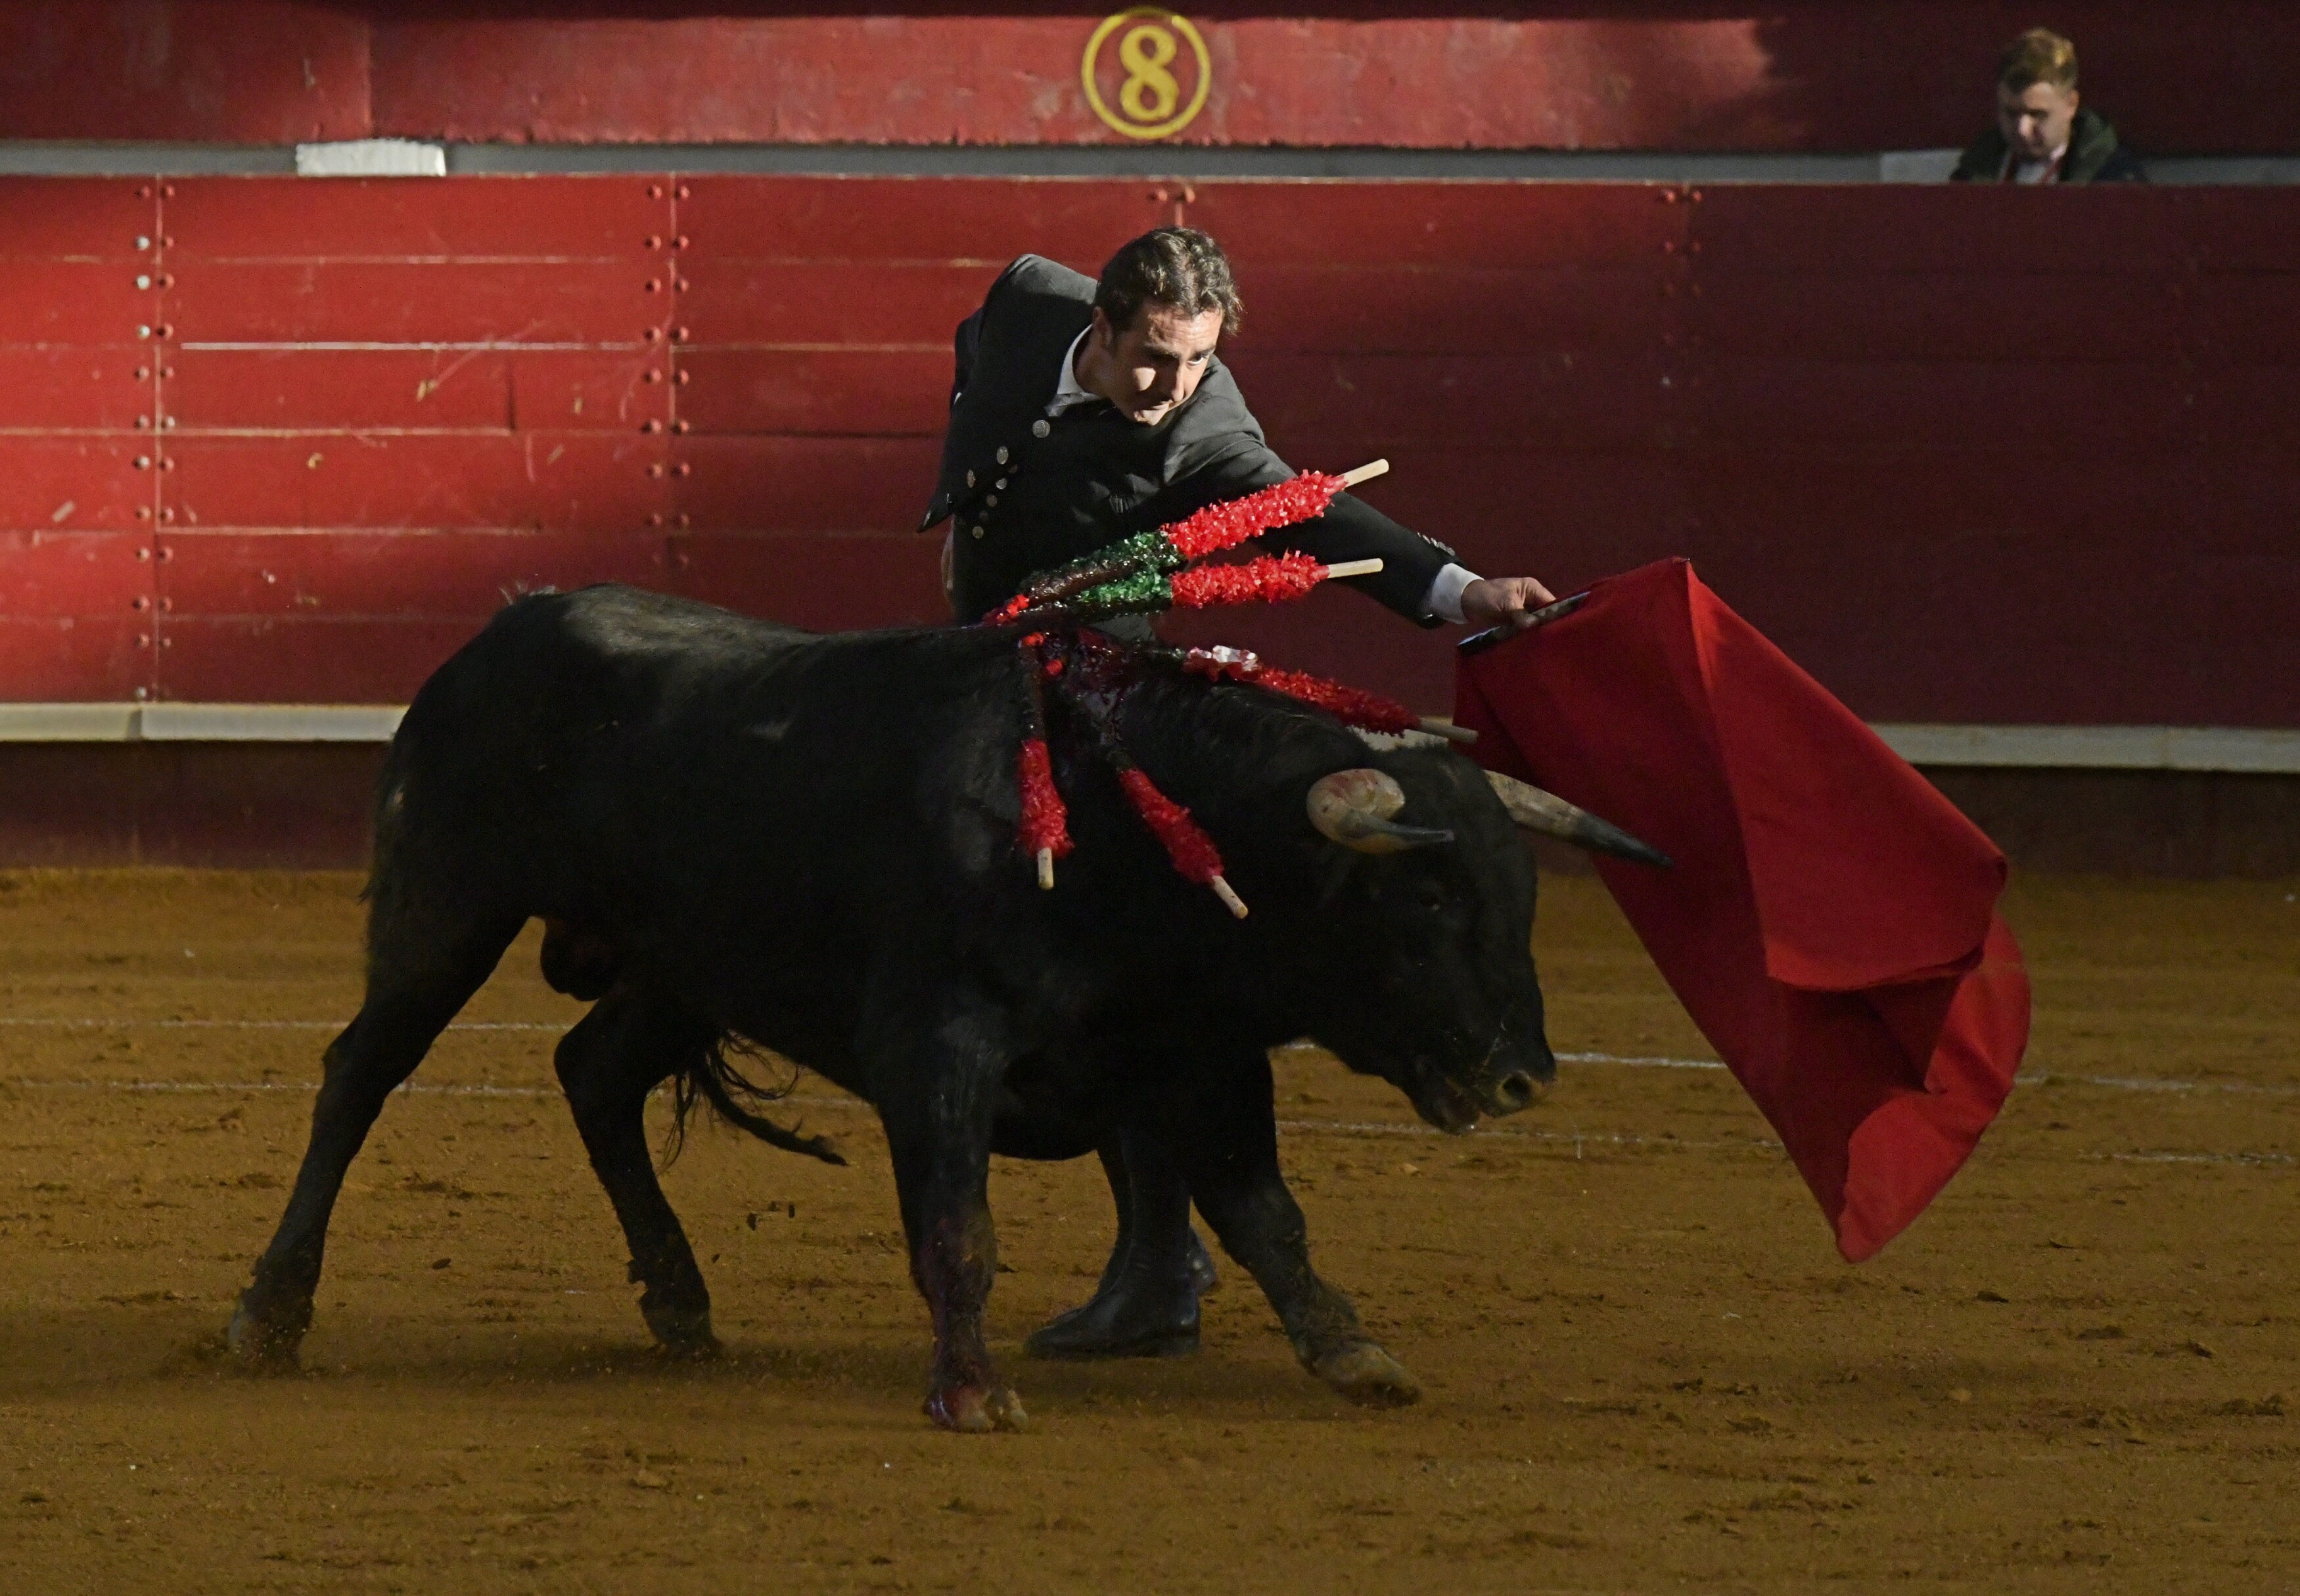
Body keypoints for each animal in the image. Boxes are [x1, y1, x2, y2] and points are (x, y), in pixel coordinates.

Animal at [229, 589, 1601, 1435]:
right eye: (1425, 897)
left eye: (1521, 891)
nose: (1524, 1071)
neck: (1125, 812)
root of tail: (504, 625)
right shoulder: (939, 1048)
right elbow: (960, 1228)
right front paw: (973, 1391)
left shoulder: (1204, 1059)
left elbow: (1268, 1213)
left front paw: (1353, 1352)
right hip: (447, 905)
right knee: (360, 1072)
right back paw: (269, 1310)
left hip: (687, 963)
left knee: (594, 1070)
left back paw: (680, 1299)